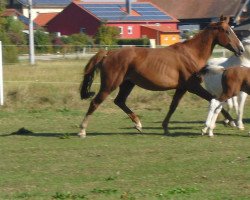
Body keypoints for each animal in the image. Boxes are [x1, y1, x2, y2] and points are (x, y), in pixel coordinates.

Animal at [78, 16, 244, 138]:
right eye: (227, 31)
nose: (241, 49)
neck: (191, 54)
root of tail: (108, 53)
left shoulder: (182, 88)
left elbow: (173, 106)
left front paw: (165, 127)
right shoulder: (193, 87)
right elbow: (213, 99)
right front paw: (230, 122)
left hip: (127, 84)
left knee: (119, 101)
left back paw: (138, 124)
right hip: (110, 84)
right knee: (95, 102)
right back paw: (82, 130)